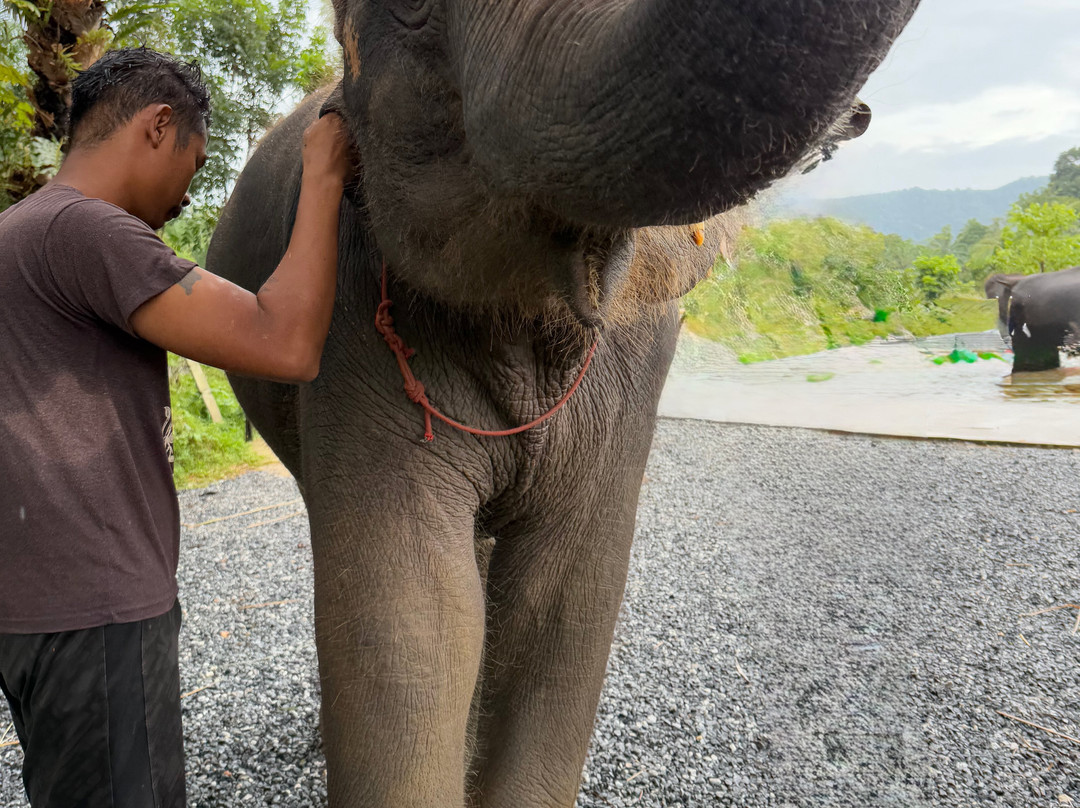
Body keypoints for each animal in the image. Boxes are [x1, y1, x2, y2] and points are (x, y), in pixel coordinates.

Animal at [206, 2, 918, 805]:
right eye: (412, 10)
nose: (855, 116)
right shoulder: (351, 307)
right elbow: (408, 627)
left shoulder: (638, 361)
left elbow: (565, 608)